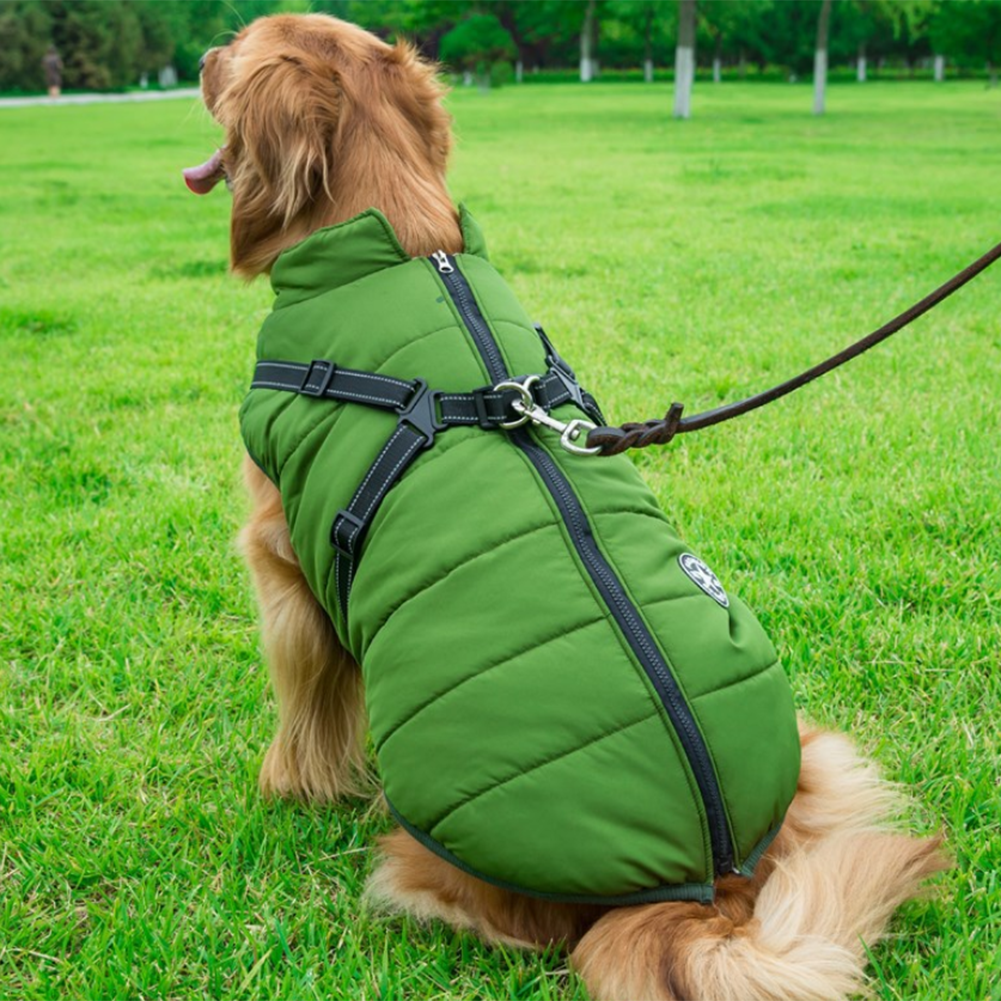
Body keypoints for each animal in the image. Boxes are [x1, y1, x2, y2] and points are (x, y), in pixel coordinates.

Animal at [186, 13, 944, 992]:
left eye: (238, 50)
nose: (202, 57)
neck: (403, 241)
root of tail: (710, 888)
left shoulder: (286, 563)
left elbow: (305, 707)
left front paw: (286, 787)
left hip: (433, 847)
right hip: (818, 749)